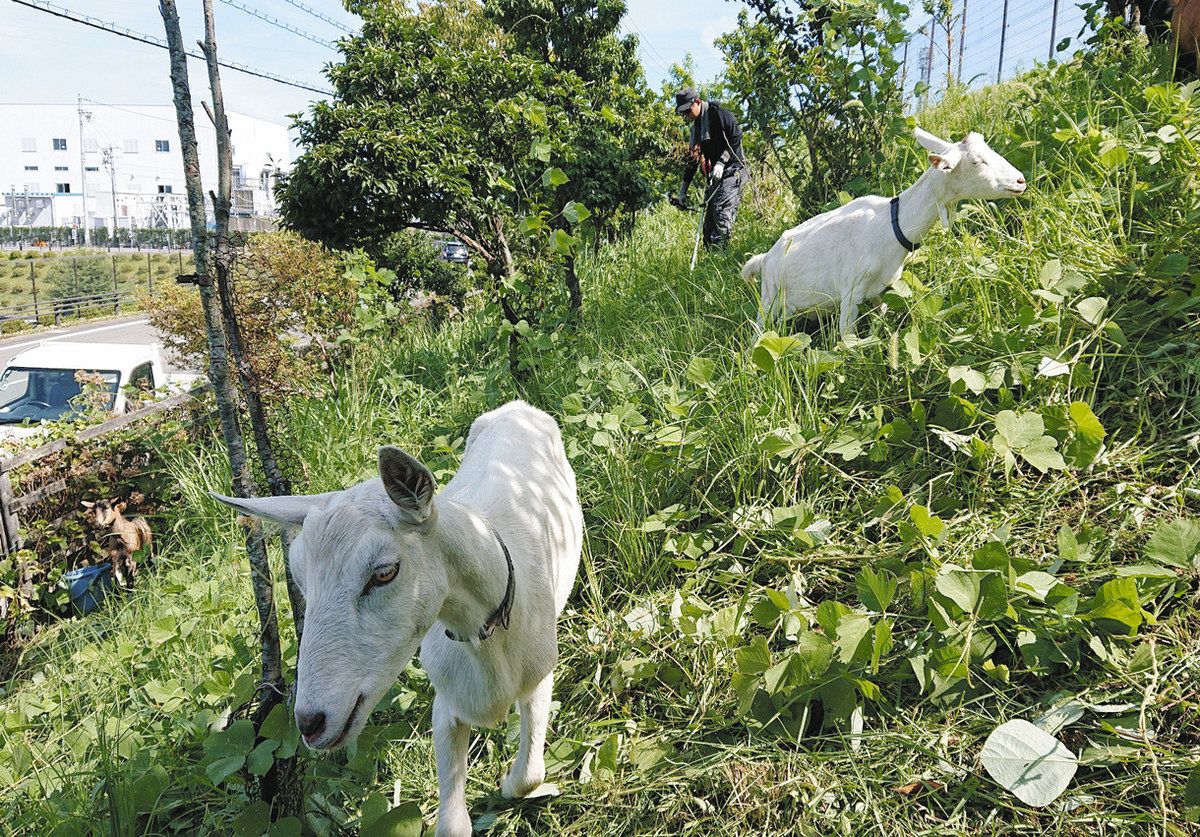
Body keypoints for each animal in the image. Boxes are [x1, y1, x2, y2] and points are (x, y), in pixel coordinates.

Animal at [218, 400, 588, 834]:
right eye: (299, 579)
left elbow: (530, 776)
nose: (309, 723)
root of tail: (518, 406)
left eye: (384, 573)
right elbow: (453, 825)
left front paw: (506, 784)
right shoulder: (447, 706)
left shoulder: (539, 679)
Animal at [744, 127, 1027, 335]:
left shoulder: (880, 291)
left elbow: (879, 319)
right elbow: (846, 339)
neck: (892, 227)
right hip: (768, 300)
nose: (1021, 180)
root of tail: (764, 258)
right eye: (978, 161)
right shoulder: (851, 292)